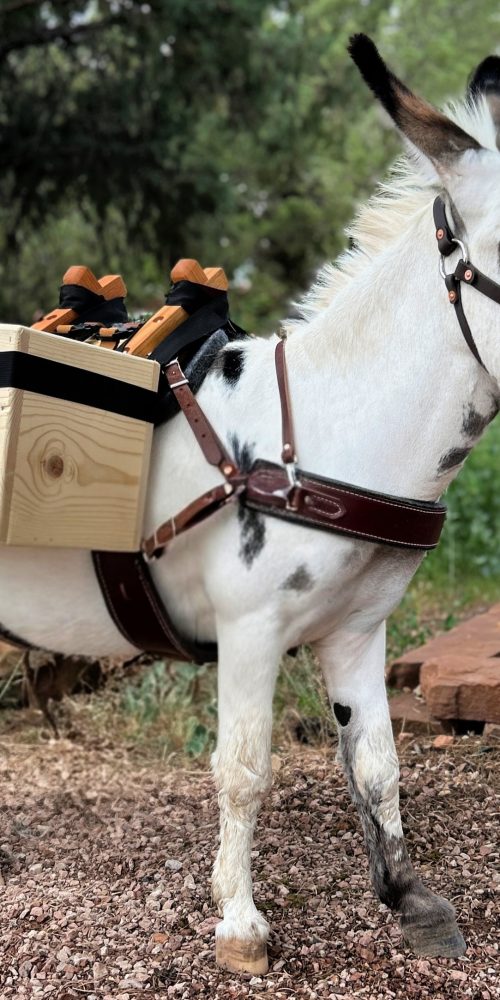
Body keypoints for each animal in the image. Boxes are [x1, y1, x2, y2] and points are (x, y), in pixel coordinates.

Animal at [1, 34, 499, 974]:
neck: (326, 432)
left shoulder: (357, 632)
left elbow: (377, 763)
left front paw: (409, 900)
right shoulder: (250, 631)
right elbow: (243, 769)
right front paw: (239, 924)